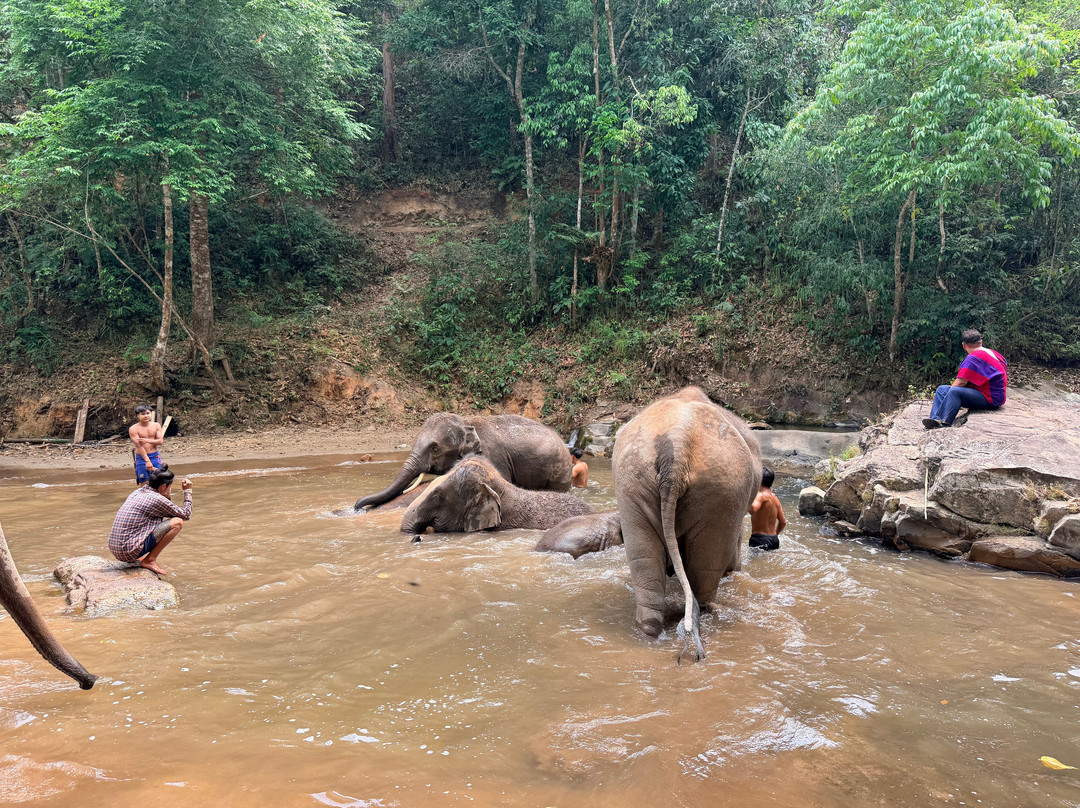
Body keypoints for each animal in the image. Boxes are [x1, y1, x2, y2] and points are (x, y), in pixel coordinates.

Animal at [612, 386, 761, 662]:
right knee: (707, 565)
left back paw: (650, 627)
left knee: (642, 554)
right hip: (723, 490)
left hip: (632, 480)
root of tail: (677, 443)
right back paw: (705, 614)